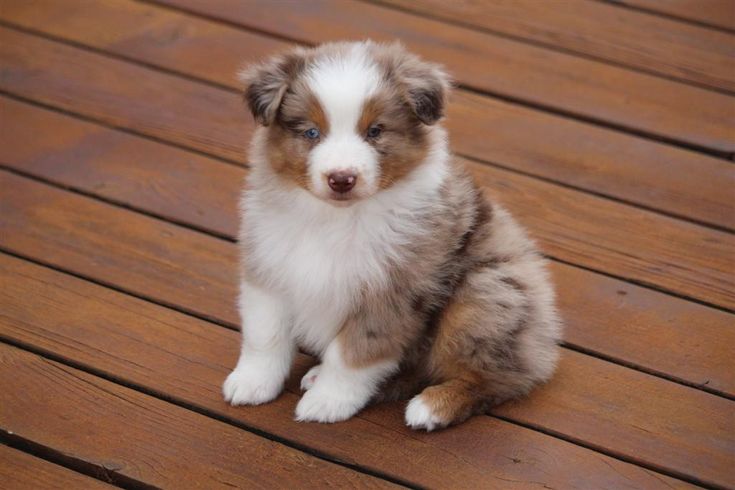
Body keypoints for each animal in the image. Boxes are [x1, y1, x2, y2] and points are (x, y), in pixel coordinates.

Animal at [221, 40, 560, 428]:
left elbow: (354, 353)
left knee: (498, 378)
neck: (337, 219)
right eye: (311, 133)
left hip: (485, 294)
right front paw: (252, 382)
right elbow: (265, 335)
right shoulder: (270, 264)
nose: (341, 179)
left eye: (375, 131)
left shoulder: (392, 289)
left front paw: (328, 402)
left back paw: (433, 406)